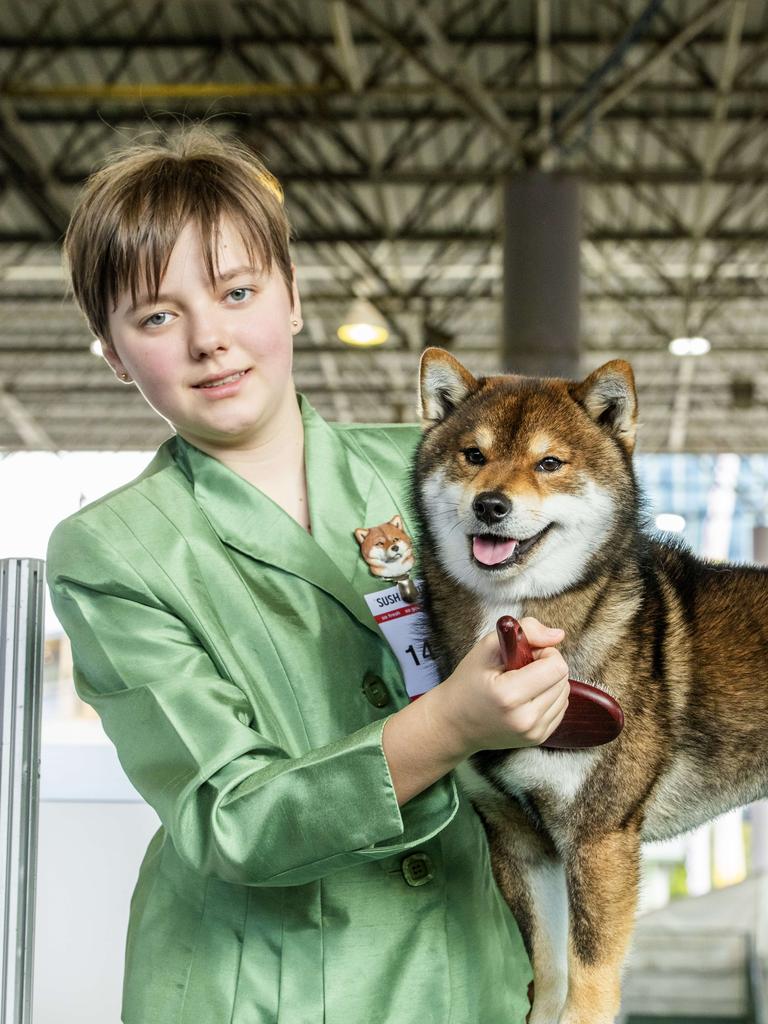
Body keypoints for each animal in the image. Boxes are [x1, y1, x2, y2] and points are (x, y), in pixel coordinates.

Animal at [411, 350, 768, 1024]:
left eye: (550, 463)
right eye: (473, 454)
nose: (490, 505)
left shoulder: (599, 838)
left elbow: (588, 985)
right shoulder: (522, 840)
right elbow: (548, 979)